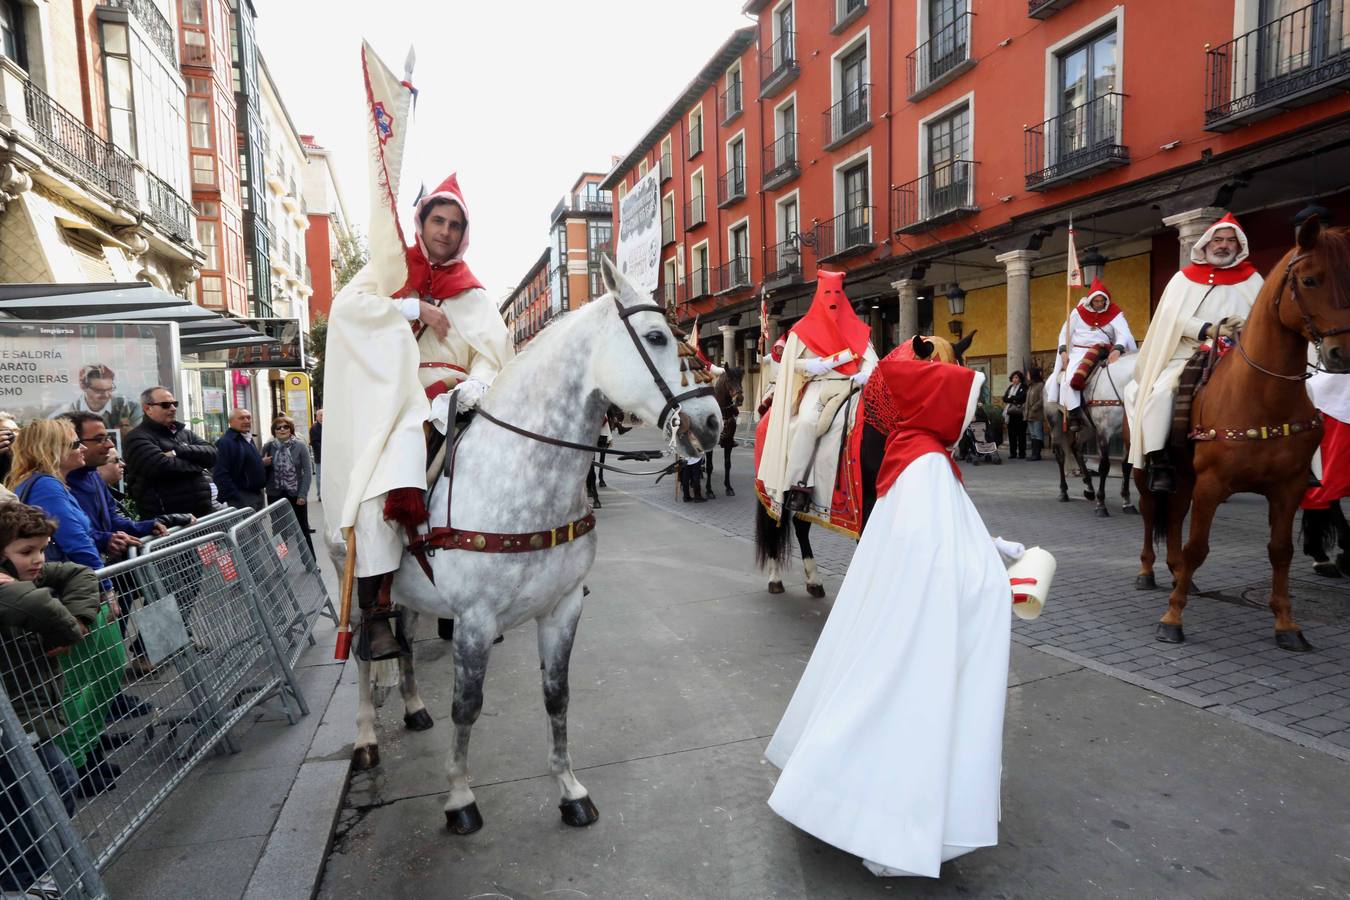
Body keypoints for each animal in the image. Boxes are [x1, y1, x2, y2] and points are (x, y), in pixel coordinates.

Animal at [756, 333, 966, 599]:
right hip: (772, 487)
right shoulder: (866, 499)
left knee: (800, 526)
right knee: (774, 524)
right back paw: (775, 578)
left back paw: (814, 581)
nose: (955, 441)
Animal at [1134, 218, 1350, 655]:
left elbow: (1280, 551)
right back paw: (1148, 571)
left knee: (1175, 515)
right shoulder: (1212, 485)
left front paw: (1286, 623)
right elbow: (1198, 547)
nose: (1342, 353)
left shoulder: (1288, 487)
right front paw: (1172, 618)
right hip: (1145, 472)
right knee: (1151, 513)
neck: (1262, 396)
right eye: (1310, 279)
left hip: (1185, 477)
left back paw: (1178, 573)